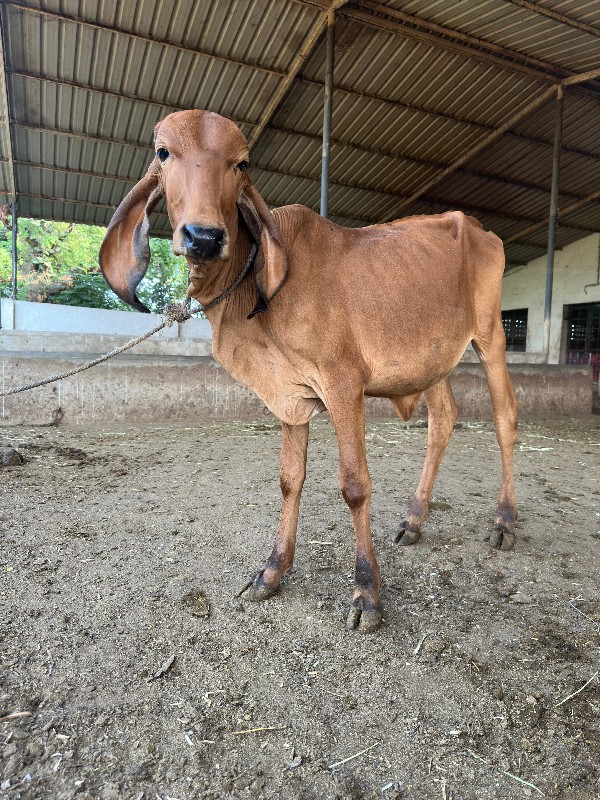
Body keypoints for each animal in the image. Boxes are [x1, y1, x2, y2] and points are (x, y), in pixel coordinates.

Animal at [101, 109, 516, 632]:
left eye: (241, 163)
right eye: (163, 153)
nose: (204, 237)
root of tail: (482, 231)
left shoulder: (343, 384)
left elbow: (355, 486)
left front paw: (367, 593)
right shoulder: (289, 395)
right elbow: (289, 479)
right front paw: (272, 571)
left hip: (490, 335)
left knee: (505, 419)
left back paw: (504, 521)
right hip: (434, 359)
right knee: (442, 420)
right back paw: (414, 520)